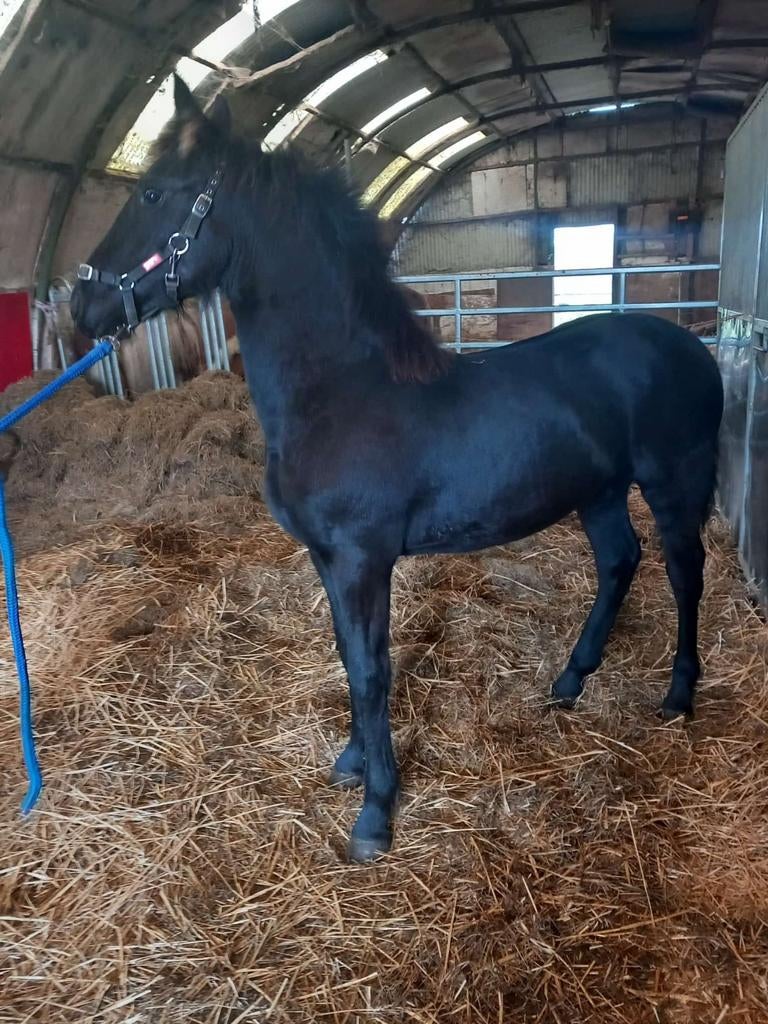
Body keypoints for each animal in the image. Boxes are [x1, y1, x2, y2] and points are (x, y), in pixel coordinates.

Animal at [71, 76, 724, 862]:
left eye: (152, 194)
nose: (81, 303)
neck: (343, 388)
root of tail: (693, 348)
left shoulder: (362, 557)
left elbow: (372, 669)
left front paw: (376, 813)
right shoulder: (329, 558)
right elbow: (350, 658)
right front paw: (353, 763)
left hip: (672, 482)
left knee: (685, 574)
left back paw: (678, 696)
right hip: (596, 491)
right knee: (619, 562)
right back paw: (569, 680)